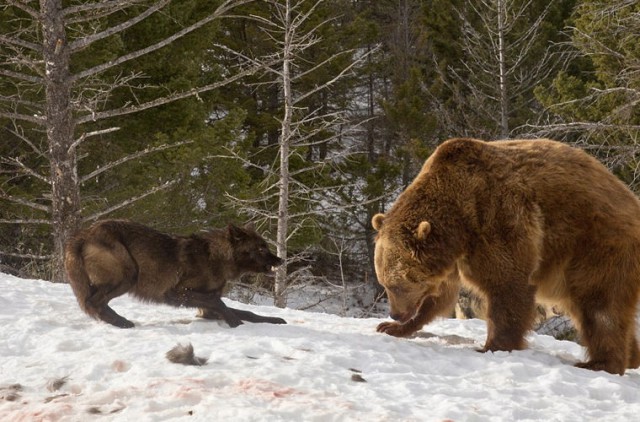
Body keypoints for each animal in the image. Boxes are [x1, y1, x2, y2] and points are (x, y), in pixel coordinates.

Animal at [372, 138, 640, 376]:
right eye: (385, 283)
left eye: (397, 284)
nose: (395, 313)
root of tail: (632, 200)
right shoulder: (452, 258)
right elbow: (440, 297)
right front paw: (393, 327)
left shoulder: (498, 218)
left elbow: (508, 284)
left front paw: (493, 345)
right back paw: (631, 357)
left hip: (597, 246)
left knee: (600, 306)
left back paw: (600, 363)